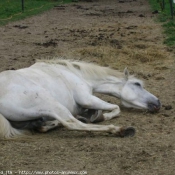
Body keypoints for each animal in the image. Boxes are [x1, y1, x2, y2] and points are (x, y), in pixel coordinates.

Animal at [0, 59, 160, 139]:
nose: (158, 102)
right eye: (137, 84)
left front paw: (92, 115)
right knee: (72, 123)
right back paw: (120, 130)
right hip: (50, 103)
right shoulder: (86, 98)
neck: (74, 74)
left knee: (43, 126)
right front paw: (99, 117)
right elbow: (117, 108)